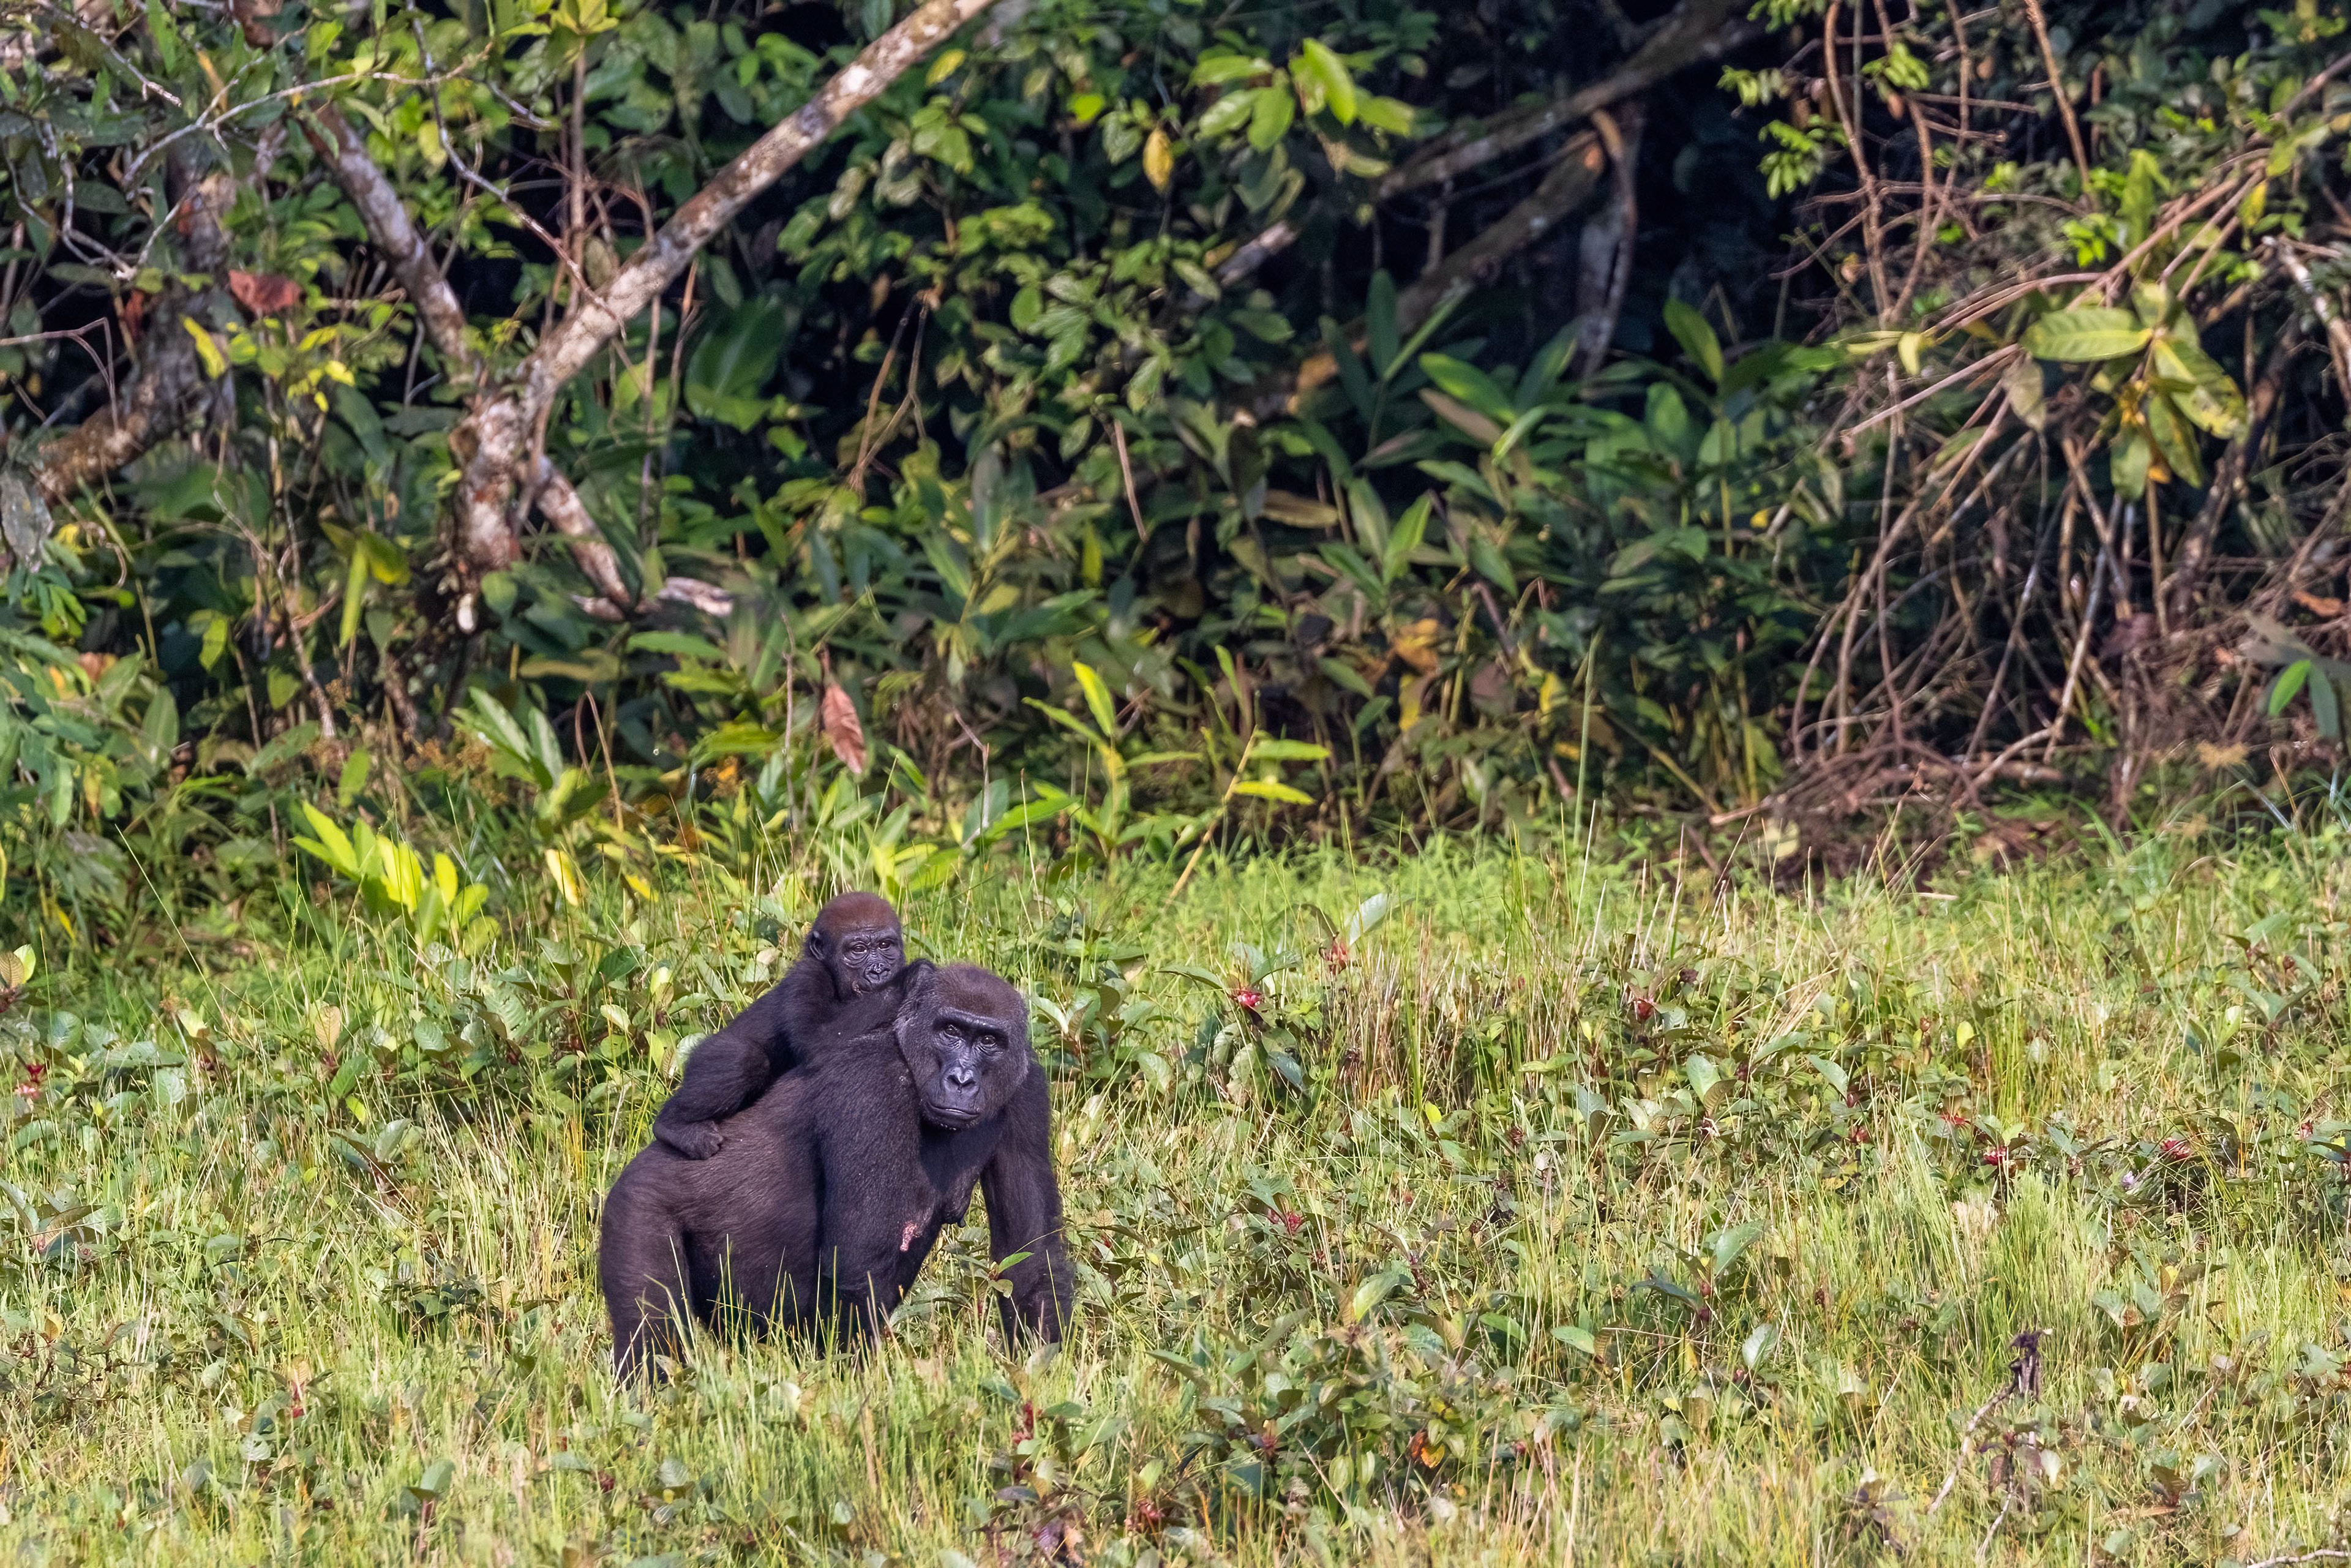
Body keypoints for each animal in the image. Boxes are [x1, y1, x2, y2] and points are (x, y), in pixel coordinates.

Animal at [599, 965, 1069, 1379]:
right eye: (950, 1031)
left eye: (989, 1040)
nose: (962, 1079)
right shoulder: (872, 1080)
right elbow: (858, 1264)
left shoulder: (1027, 1088)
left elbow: (1031, 1257)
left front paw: (1041, 1373)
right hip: (638, 1202)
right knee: (651, 1337)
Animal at [651, 890, 906, 1160]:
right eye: (858, 950)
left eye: (885, 945)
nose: (878, 971)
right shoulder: (808, 976)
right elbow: (815, 1040)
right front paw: (909, 978)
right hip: (706, 1054)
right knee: (741, 1058)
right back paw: (674, 1125)